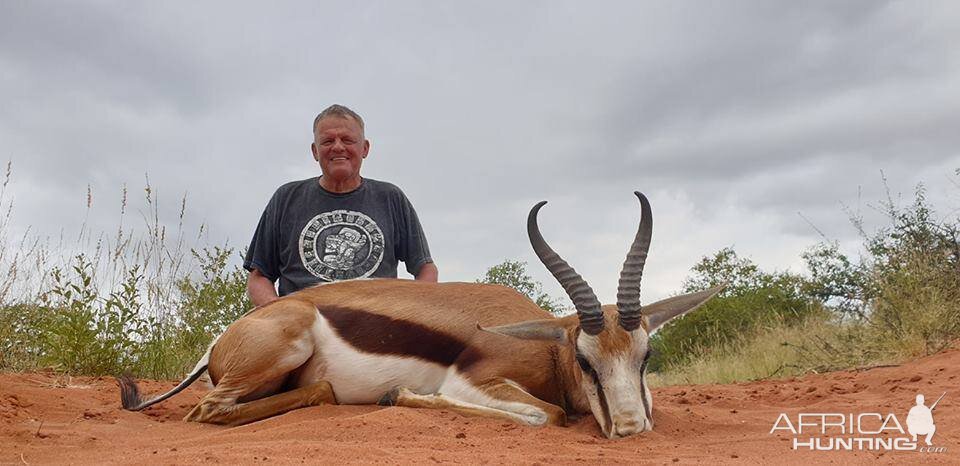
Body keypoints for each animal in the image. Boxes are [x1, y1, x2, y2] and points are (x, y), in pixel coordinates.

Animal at [118, 191, 720, 438]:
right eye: (585, 360)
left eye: (646, 356)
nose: (630, 428)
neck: (543, 346)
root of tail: (221, 342)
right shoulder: (473, 381)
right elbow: (546, 416)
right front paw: (401, 396)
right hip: (280, 350)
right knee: (207, 413)